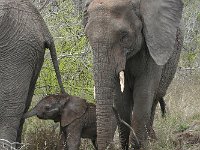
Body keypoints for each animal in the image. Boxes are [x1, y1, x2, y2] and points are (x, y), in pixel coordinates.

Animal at [83, 0, 184, 148]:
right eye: (87, 36)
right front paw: (125, 145)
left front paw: (136, 146)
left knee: (154, 99)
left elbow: (144, 93)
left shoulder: (152, 45)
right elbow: (121, 99)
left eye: (124, 36)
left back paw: (150, 141)